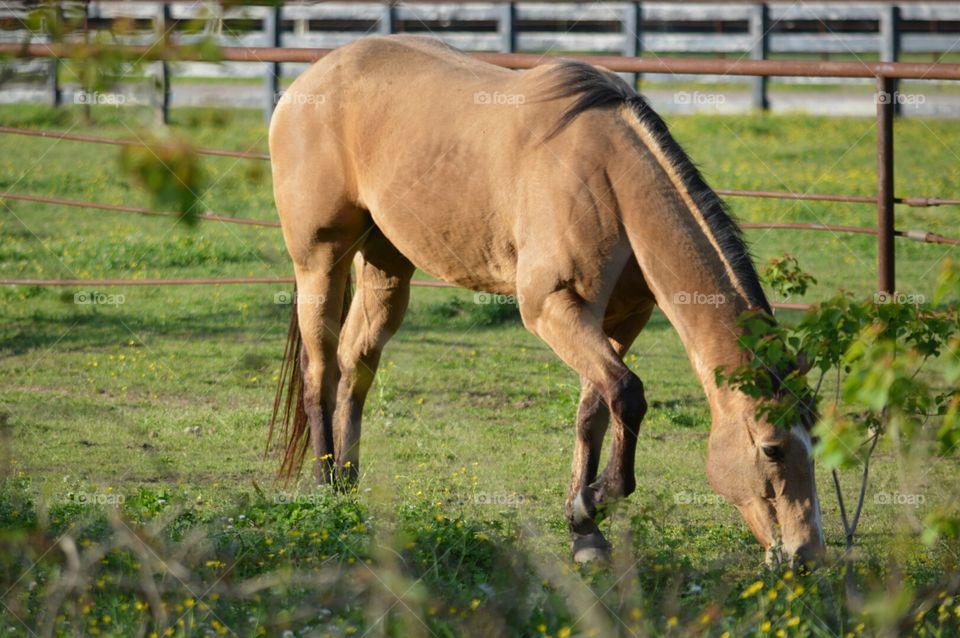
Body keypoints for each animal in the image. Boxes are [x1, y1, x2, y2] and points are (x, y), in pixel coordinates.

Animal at [267, 34, 825, 565]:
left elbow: (594, 411)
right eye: (773, 449)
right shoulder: (551, 308)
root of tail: (308, 82)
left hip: (387, 266)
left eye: (813, 441)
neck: (608, 177)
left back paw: (348, 479)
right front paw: (597, 499)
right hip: (320, 259)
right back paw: (325, 485)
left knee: (356, 362)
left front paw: (585, 528)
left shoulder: (620, 320)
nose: (805, 553)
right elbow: (628, 393)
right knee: (320, 368)